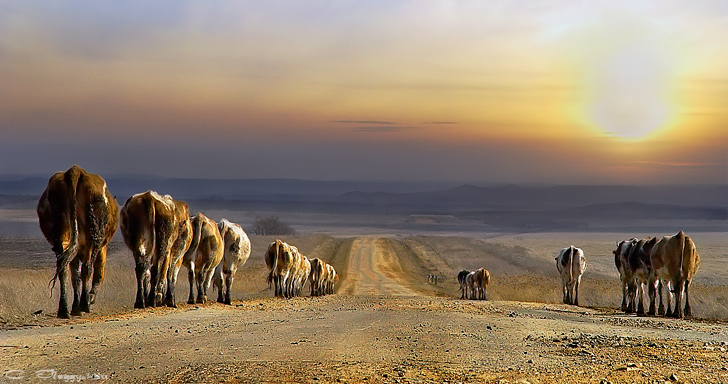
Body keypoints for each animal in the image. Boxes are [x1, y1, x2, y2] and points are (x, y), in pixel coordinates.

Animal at [36, 165, 118, 318]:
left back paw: (64, 309)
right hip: (92, 237)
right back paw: (84, 305)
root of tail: (75, 171)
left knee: (63, 269)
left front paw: (75, 306)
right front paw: (87, 300)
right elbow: (97, 272)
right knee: (87, 269)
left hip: (61, 235)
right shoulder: (100, 247)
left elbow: (75, 277)